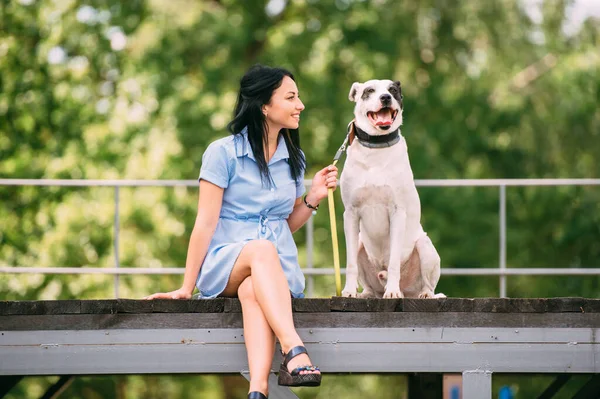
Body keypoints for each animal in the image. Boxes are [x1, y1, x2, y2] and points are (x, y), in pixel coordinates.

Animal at [340, 79, 442, 300]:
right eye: (369, 90)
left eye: (393, 90)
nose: (385, 97)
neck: (376, 147)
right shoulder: (350, 213)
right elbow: (350, 263)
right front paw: (349, 291)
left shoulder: (397, 213)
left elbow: (394, 261)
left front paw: (393, 291)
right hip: (360, 243)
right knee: (370, 286)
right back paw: (366, 294)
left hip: (425, 246)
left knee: (428, 285)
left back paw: (421, 293)